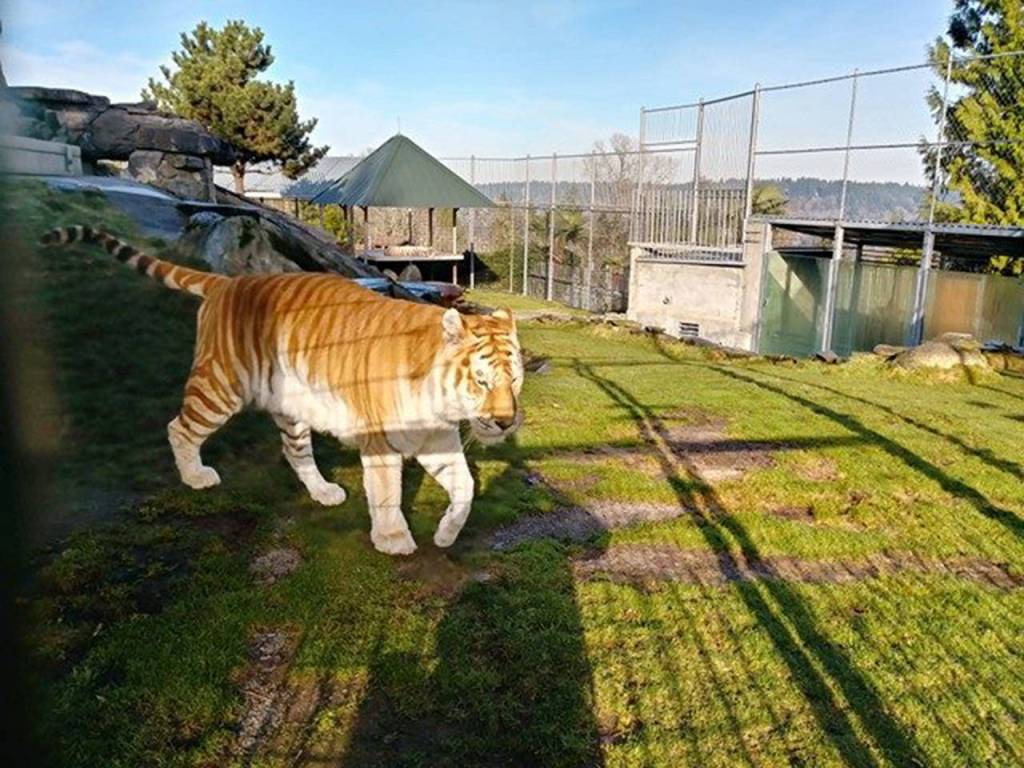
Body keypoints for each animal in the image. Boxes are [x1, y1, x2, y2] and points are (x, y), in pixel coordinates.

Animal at [40, 225, 524, 555]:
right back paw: (195, 477)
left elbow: (465, 487)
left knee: (295, 452)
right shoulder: (382, 441)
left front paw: (446, 533)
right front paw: (393, 539)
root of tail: (228, 281)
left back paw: (324, 492)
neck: (443, 405)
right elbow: (387, 492)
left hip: (292, 408)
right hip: (220, 386)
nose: (504, 423)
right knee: (179, 427)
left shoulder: (435, 438)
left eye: (515, 379)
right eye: (481, 380)